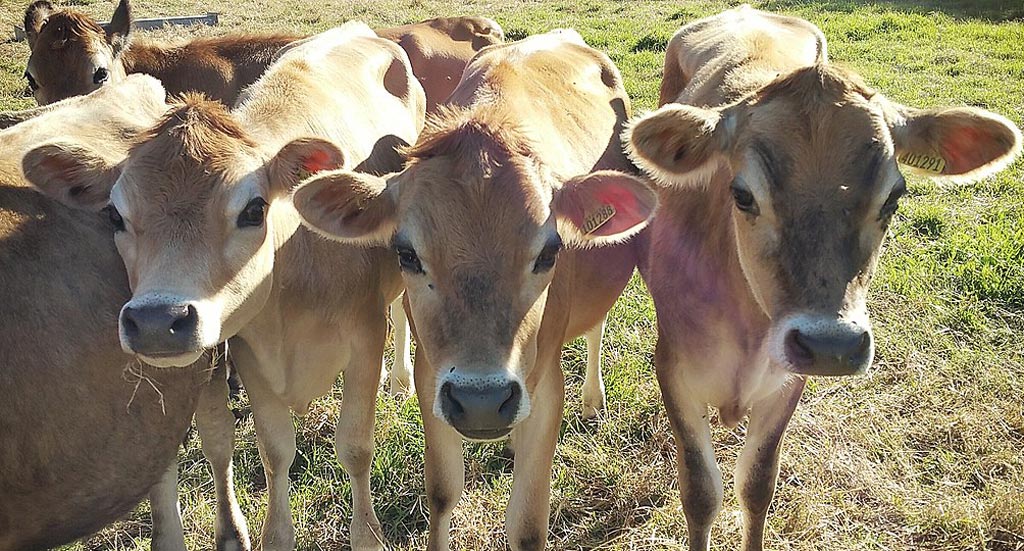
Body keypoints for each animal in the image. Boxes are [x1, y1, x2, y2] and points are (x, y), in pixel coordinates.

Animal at [24, 21, 423, 548]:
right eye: (114, 215)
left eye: (254, 209)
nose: (157, 321)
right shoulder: (251, 353)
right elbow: (275, 451)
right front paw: (278, 535)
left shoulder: (364, 337)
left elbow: (355, 447)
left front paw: (367, 535)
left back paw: (400, 379)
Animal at [288, 29, 655, 548]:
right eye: (406, 253)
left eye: (549, 252)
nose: (482, 401)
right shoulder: (432, 378)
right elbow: (442, 493)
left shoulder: (545, 385)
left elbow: (527, 526)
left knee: (596, 326)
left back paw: (593, 399)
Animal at [618, 5, 1019, 548]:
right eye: (742, 194)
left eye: (894, 197)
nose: (832, 345)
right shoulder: (674, 368)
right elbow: (701, 491)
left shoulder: (787, 380)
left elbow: (757, 485)